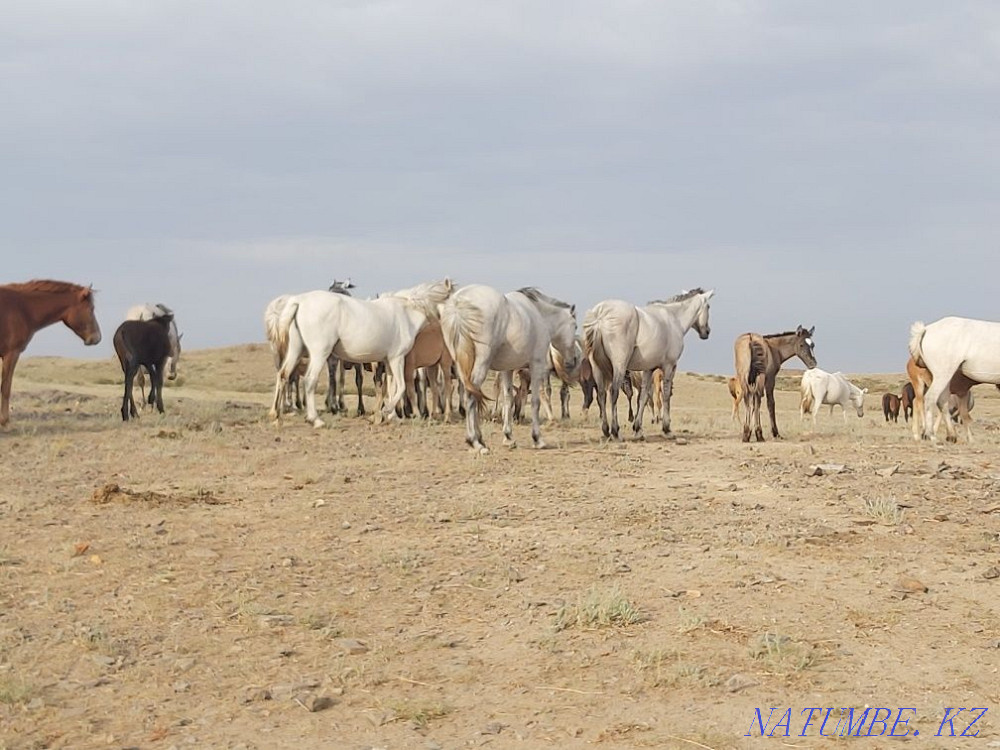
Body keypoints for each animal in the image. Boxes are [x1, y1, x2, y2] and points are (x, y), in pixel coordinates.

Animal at [0, 280, 101, 426]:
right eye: (91, 309)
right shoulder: (11, 354)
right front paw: (4, 420)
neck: (21, 308)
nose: (97, 338)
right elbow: (6, 387)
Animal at [270, 279, 454, 427]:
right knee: (309, 380)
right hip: (319, 354)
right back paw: (315, 420)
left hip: (296, 350)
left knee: (283, 375)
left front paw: (390, 416)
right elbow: (401, 386)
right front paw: (385, 412)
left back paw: (277, 416)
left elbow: (391, 386)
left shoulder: (388, 361)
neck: (406, 313)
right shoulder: (397, 359)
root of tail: (299, 301)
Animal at [441, 285, 578, 453]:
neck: (540, 314)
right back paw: (475, 442)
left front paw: (508, 437)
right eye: (575, 326)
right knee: (471, 396)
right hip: (481, 364)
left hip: (461, 366)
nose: (573, 360)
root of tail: (458, 303)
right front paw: (537, 439)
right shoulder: (537, 365)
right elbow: (536, 401)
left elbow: (508, 399)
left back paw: (479, 440)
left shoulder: (507, 369)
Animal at [583, 288, 713, 440]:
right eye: (708, 306)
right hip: (619, 366)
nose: (707, 332)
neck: (674, 319)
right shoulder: (669, 367)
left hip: (597, 368)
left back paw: (605, 430)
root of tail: (600, 314)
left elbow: (643, 397)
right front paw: (666, 428)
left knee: (602, 394)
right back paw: (615, 432)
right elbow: (666, 395)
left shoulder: (648, 369)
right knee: (613, 392)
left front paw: (638, 429)